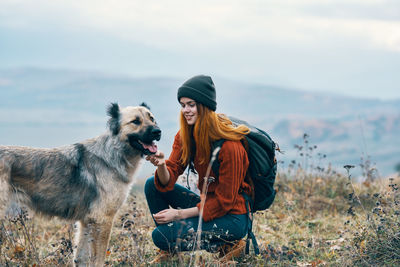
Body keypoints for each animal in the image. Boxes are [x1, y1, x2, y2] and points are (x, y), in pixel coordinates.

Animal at [0, 102, 161, 266]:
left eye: (152, 118)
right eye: (135, 121)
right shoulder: (102, 219)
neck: (113, 152)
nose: (157, 131)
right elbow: (98, 258)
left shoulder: (87, 221)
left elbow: (81, 257)